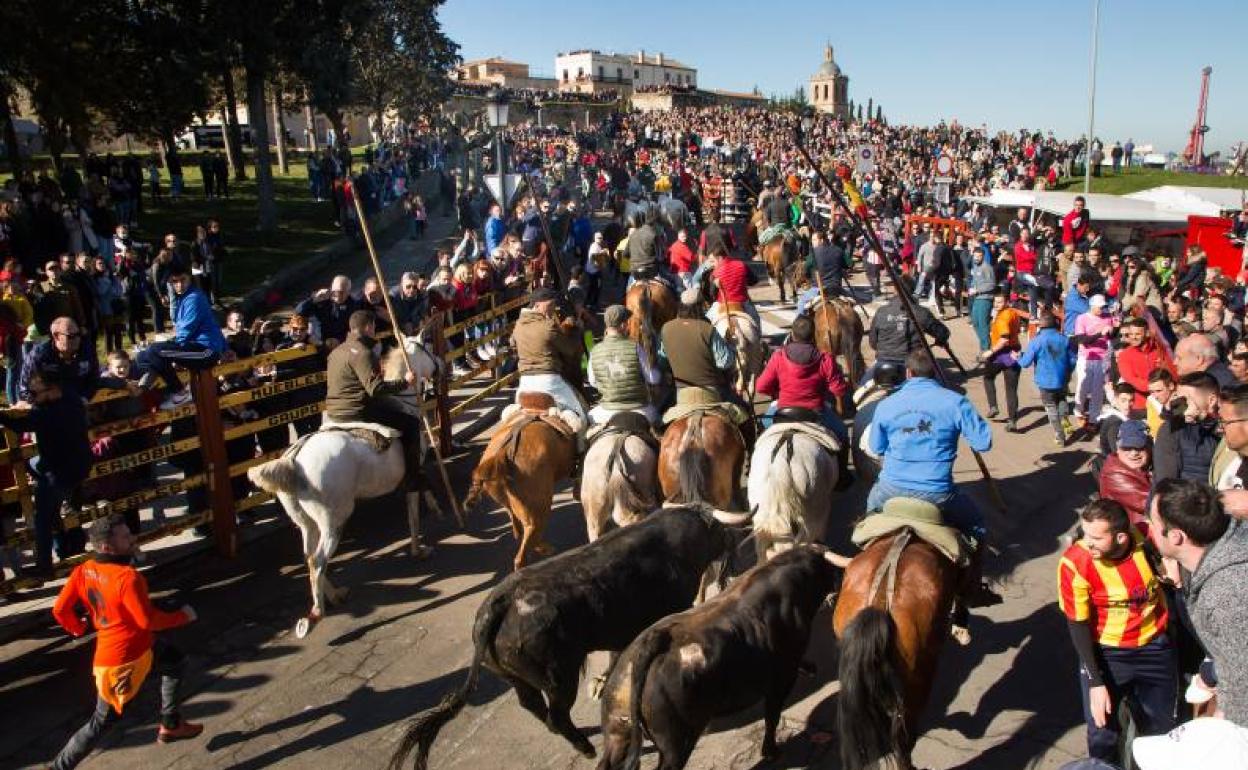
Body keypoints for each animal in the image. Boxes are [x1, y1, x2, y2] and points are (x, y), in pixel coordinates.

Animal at [245, 336, 441, 636]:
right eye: (427, 346)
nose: (441, 365)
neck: (402, 404)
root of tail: (294, 461)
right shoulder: (413, 470)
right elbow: (414, 511)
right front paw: (419, 548)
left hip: (305, 522)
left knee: (309, 559)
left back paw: (334, 596)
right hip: (334, 519)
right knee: (318, 560)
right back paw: (317, 613)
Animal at [384, 504, 743, 768]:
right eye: (718, 530)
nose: (731, 540)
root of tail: (500, 603)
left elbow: (616, 655)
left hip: (513, 675)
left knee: (530, 703)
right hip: (558, 677)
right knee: (557, 715)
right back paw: (585, 747)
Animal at [596, 546, 848, 768]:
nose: (842, 576)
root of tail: (650, 643)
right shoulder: (781, 679)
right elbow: (772, 716)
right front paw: (771, 751)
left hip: (617, 731)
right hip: (677, 743)